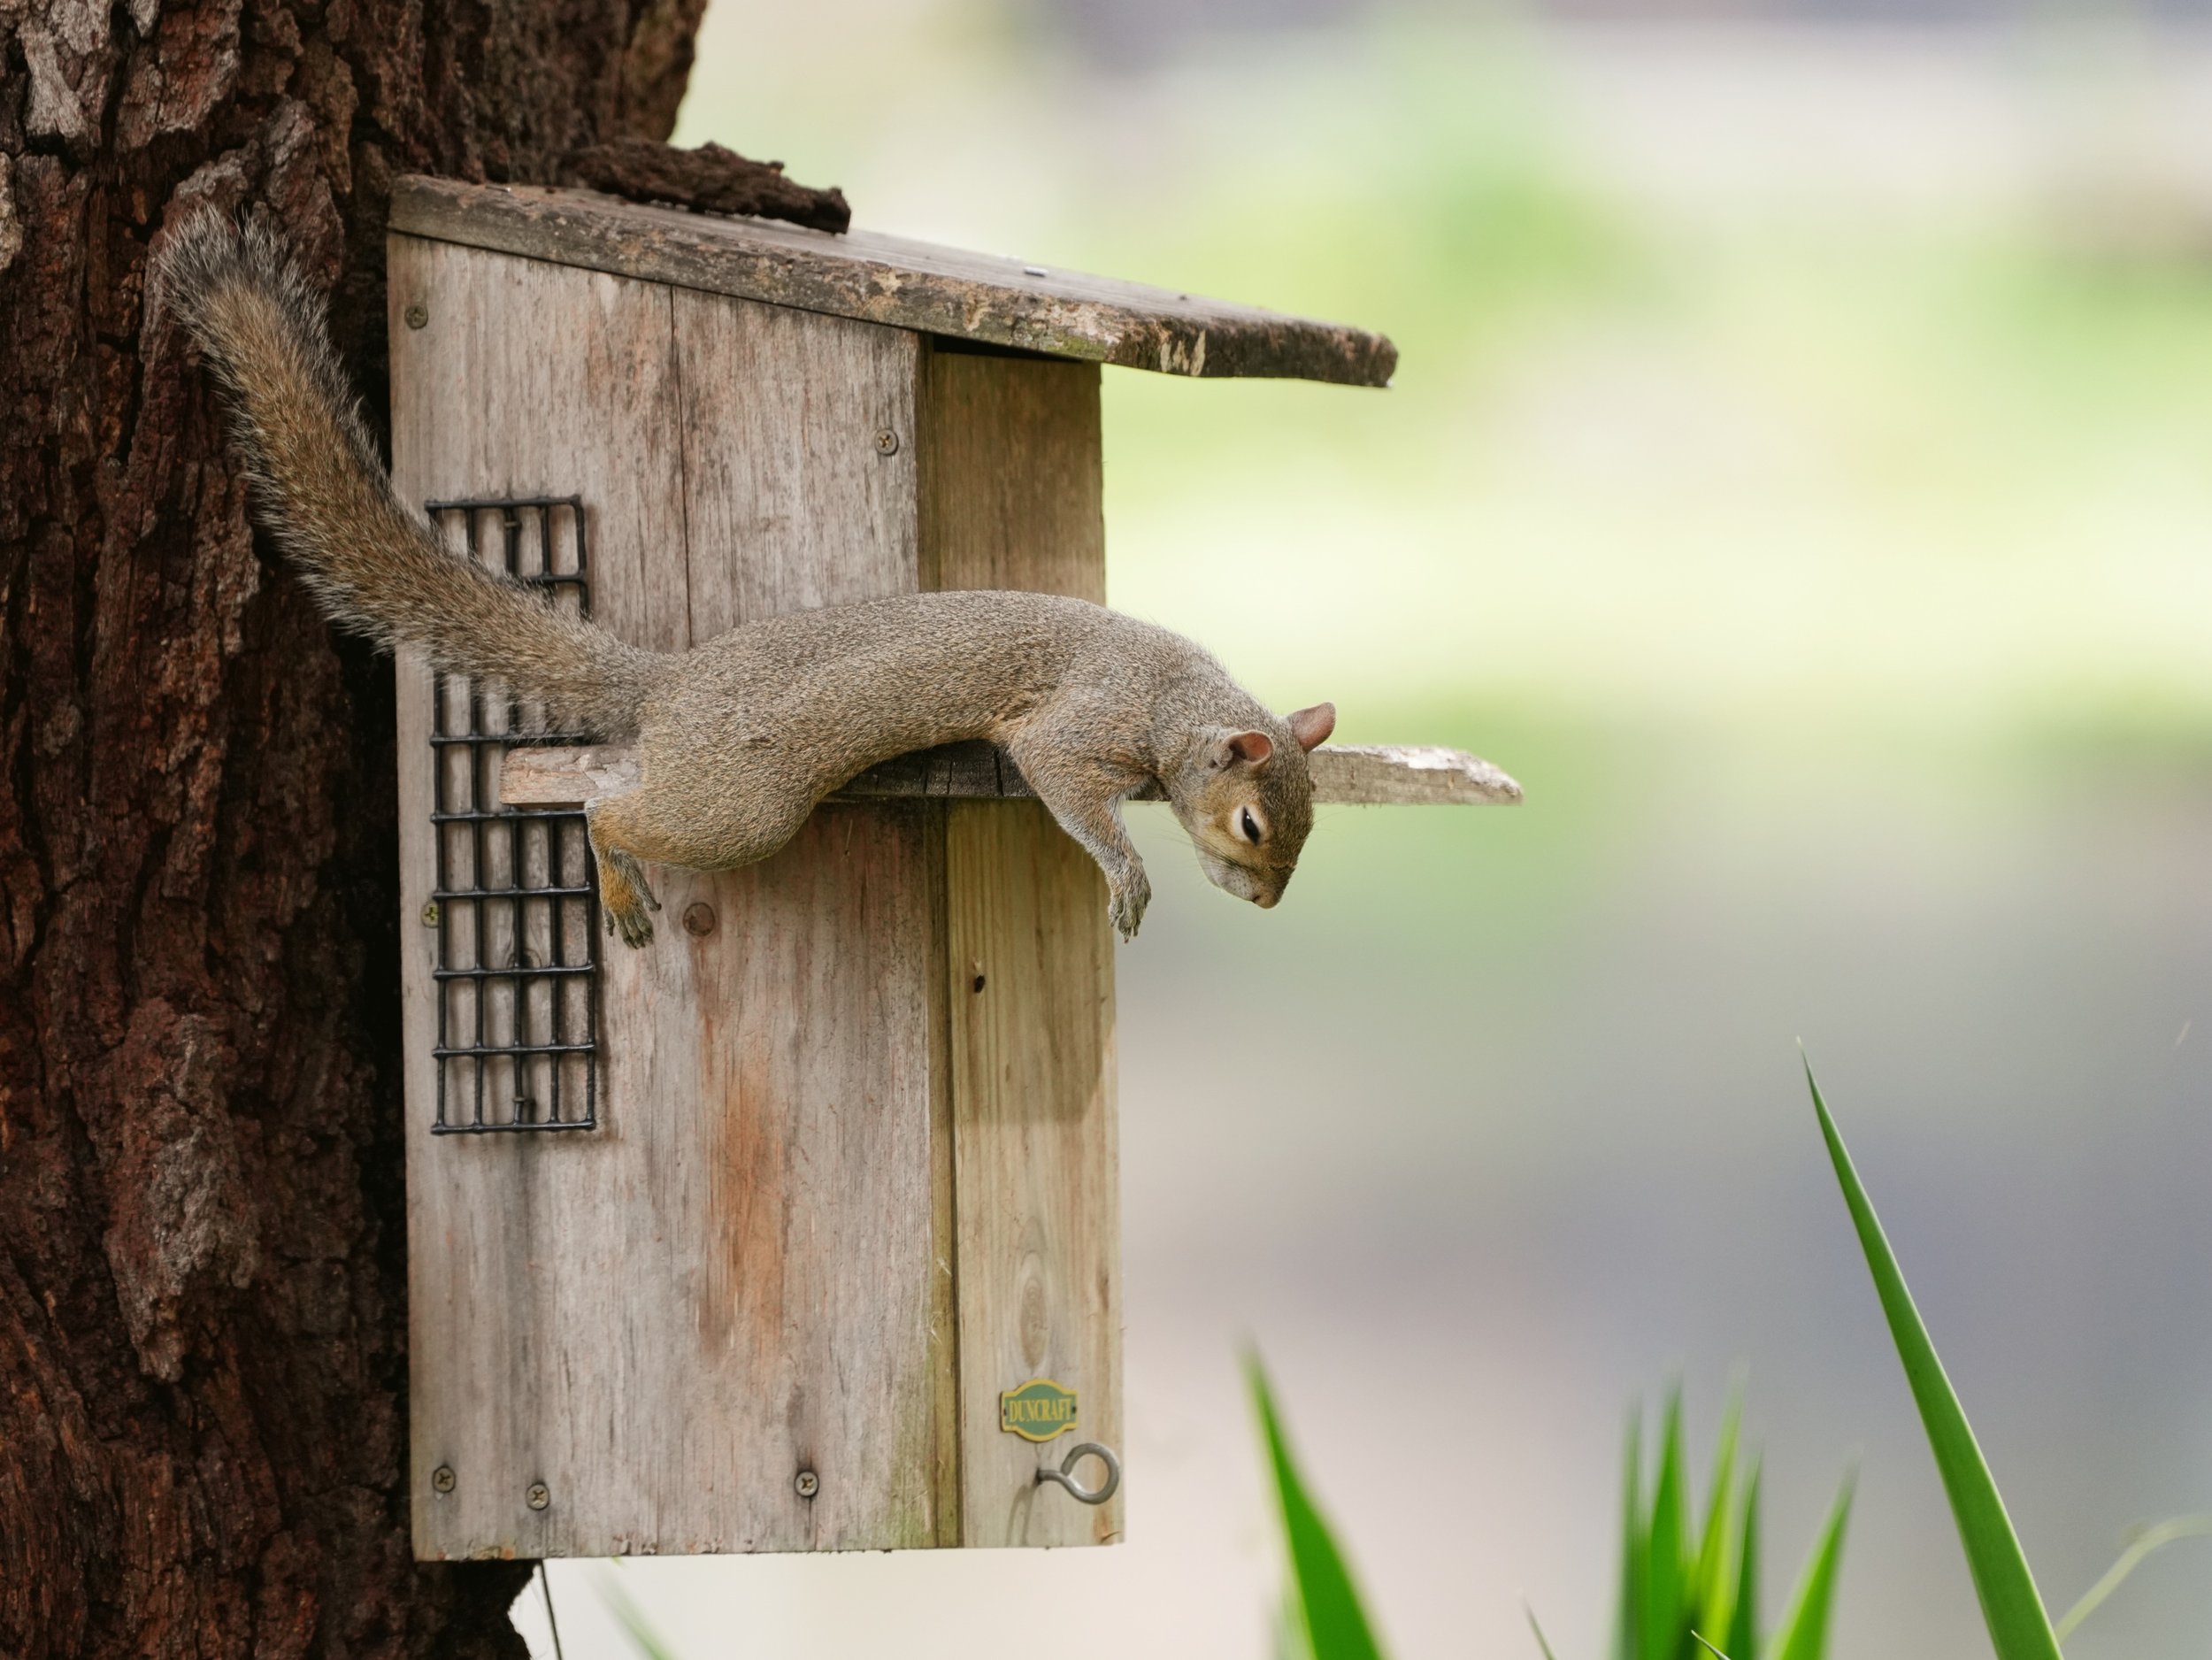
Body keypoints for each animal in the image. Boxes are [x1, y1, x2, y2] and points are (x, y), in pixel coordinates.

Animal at [153, 215, 1336, 947]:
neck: (1175, 697)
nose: (1268, 903)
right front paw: (1128, 879)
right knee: (606, 807)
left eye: (1308, 826)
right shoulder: (1075, 724)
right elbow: (1067, 786)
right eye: (1251, 826)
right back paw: (614, 869)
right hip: (743, 808)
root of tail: (669, 687)